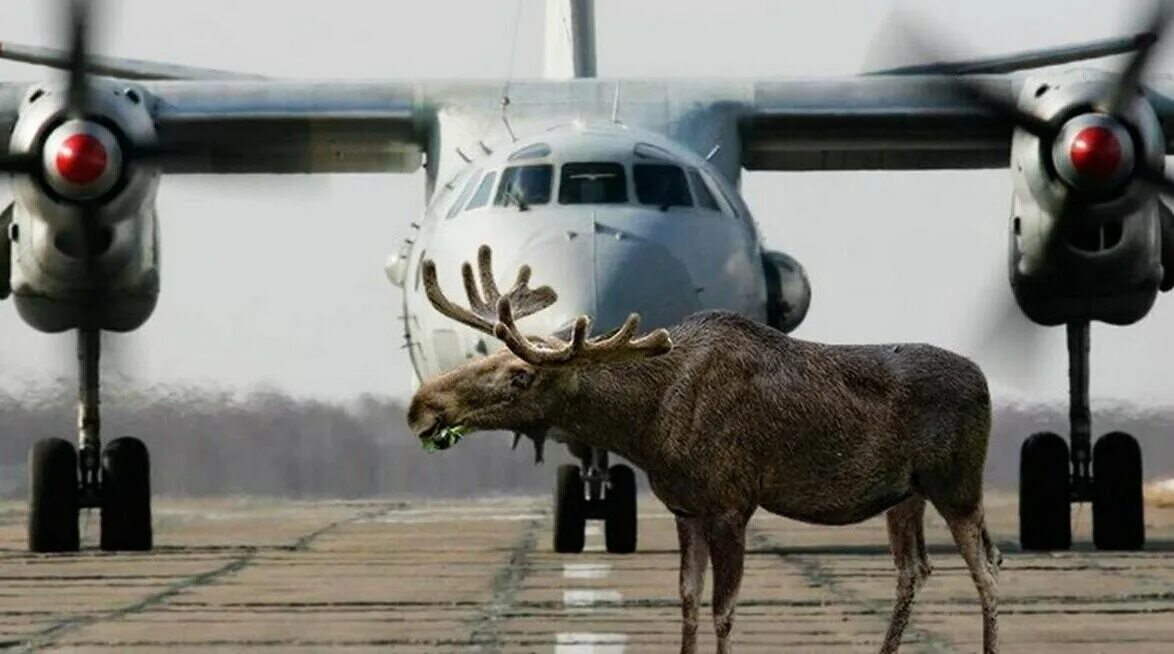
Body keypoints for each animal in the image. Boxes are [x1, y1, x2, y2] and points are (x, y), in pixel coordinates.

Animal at [408, 246, 995, 652]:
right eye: (486, 356)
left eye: (520, 375)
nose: (420, 406)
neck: (645, 425)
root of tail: (985, 380)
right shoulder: (685, 509)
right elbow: (688, 601)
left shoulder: (731, 504)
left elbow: (722, 609)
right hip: (905, 495)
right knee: (914, 571)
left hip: (959, 485)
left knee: (987, 573)